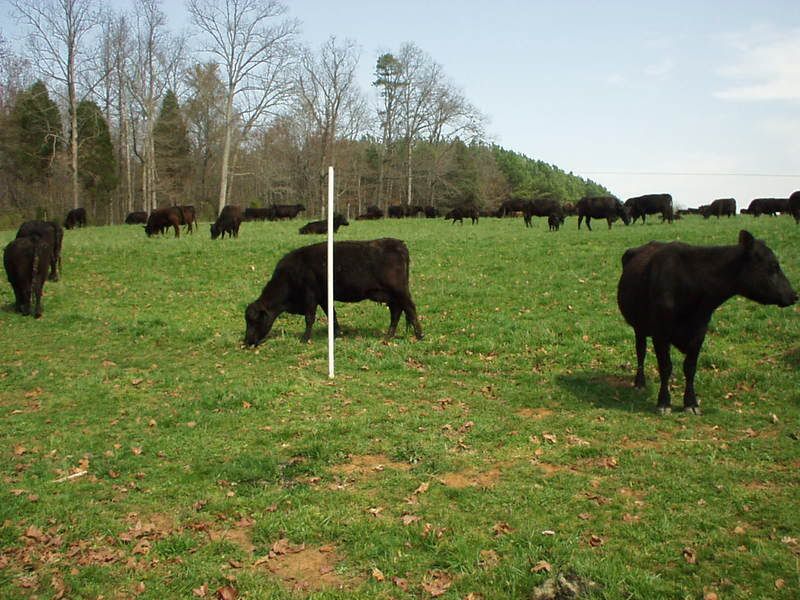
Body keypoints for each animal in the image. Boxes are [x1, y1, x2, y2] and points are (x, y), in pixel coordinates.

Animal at [244, 238, 424, 345]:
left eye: (254, 321)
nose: (247, 341)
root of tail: (398, 243)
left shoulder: (310, 295)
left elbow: (309, 318)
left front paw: (304, 339)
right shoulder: (323, 297)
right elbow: (332, 315)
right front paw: (337, 334)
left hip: (399, 291)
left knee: (410, 309)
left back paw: (419, 335)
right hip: (391, 295)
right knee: (397, 311)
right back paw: (388, 336)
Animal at [617, 230, 797, 414]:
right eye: (774, 266)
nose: (794, 294)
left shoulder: (699, 332)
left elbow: (690, 368)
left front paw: (691, 402)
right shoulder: (661, 333)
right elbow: (665, 367)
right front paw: (664, 402)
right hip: (639, 326)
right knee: (641, 351)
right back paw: (639, 382)